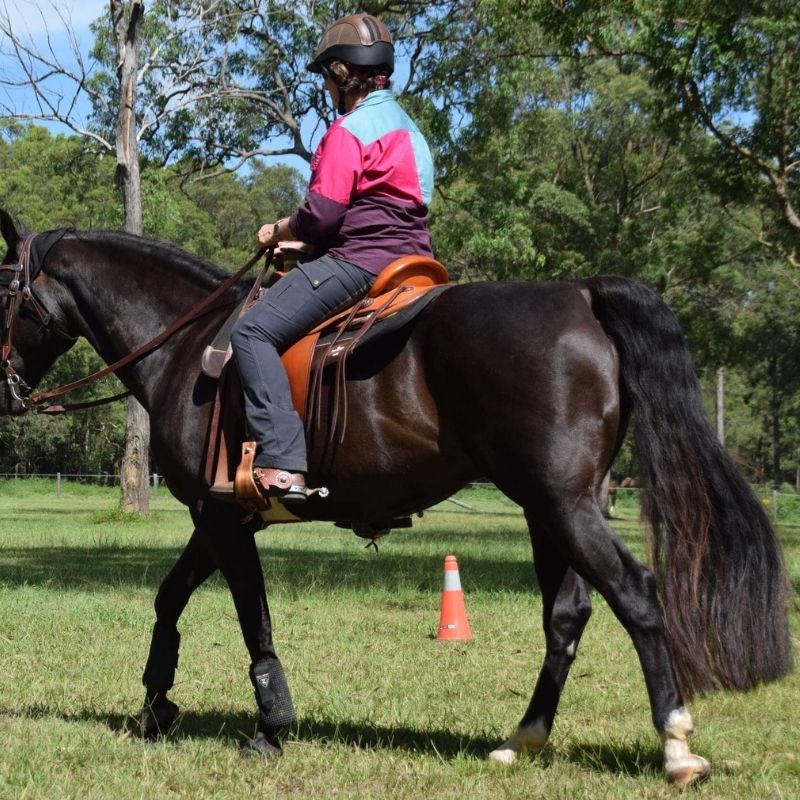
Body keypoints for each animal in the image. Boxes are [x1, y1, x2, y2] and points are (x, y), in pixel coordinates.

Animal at [0, 209, 792, 787]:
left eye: (1, 287)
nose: (6, 388)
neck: (192, 347)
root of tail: (579, 294)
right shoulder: (219, 516)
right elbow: (171, 597)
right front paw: (157, 701)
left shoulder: (223, 516)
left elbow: (252, 616)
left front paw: (270, 724)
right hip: (556, 508)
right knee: (567, 615)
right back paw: (523, 738)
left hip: (561, 505)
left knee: (636, 595)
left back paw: (676, 745)